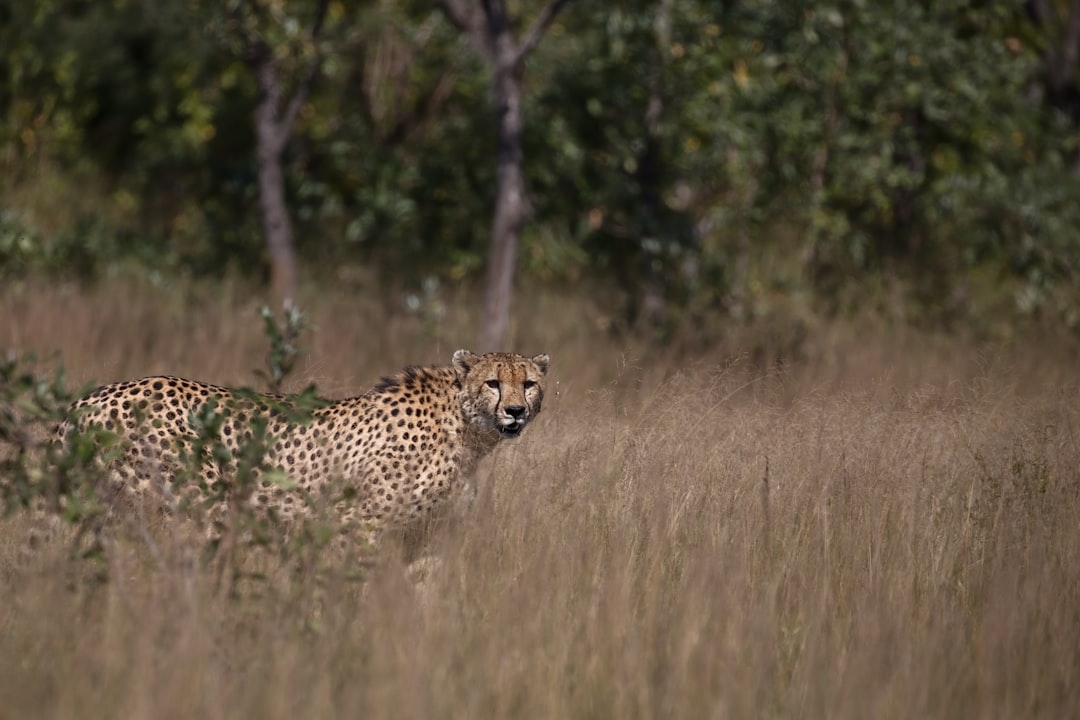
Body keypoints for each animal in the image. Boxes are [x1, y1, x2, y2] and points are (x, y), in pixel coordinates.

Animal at [59, 351, 548, 548]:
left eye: (529, 383)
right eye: (492, 383)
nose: (516, 411)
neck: (466, 431)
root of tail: (90, 397)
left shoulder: (425, 537)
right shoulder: (358, 525)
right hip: (193, 509)